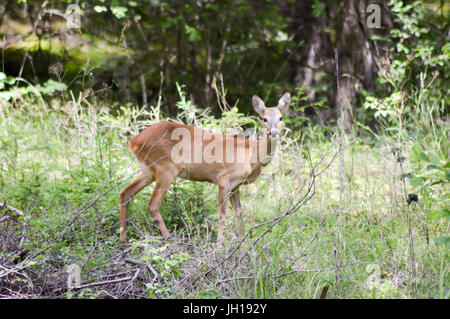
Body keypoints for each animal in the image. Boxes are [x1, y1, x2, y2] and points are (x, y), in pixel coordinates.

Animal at [118, 92, 290, 248]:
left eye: (281, 118)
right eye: (264, 118)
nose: (273, 132)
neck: (253, 155)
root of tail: (133, 141)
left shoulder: (236, 186)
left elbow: (239, 212)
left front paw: (245, 245)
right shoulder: (224, 179)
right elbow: (222, 214)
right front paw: (219, 247)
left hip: (148, 171)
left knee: (125, 192)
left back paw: (123, 239)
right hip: (165, 169)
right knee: (152, 204)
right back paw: (170, 240)